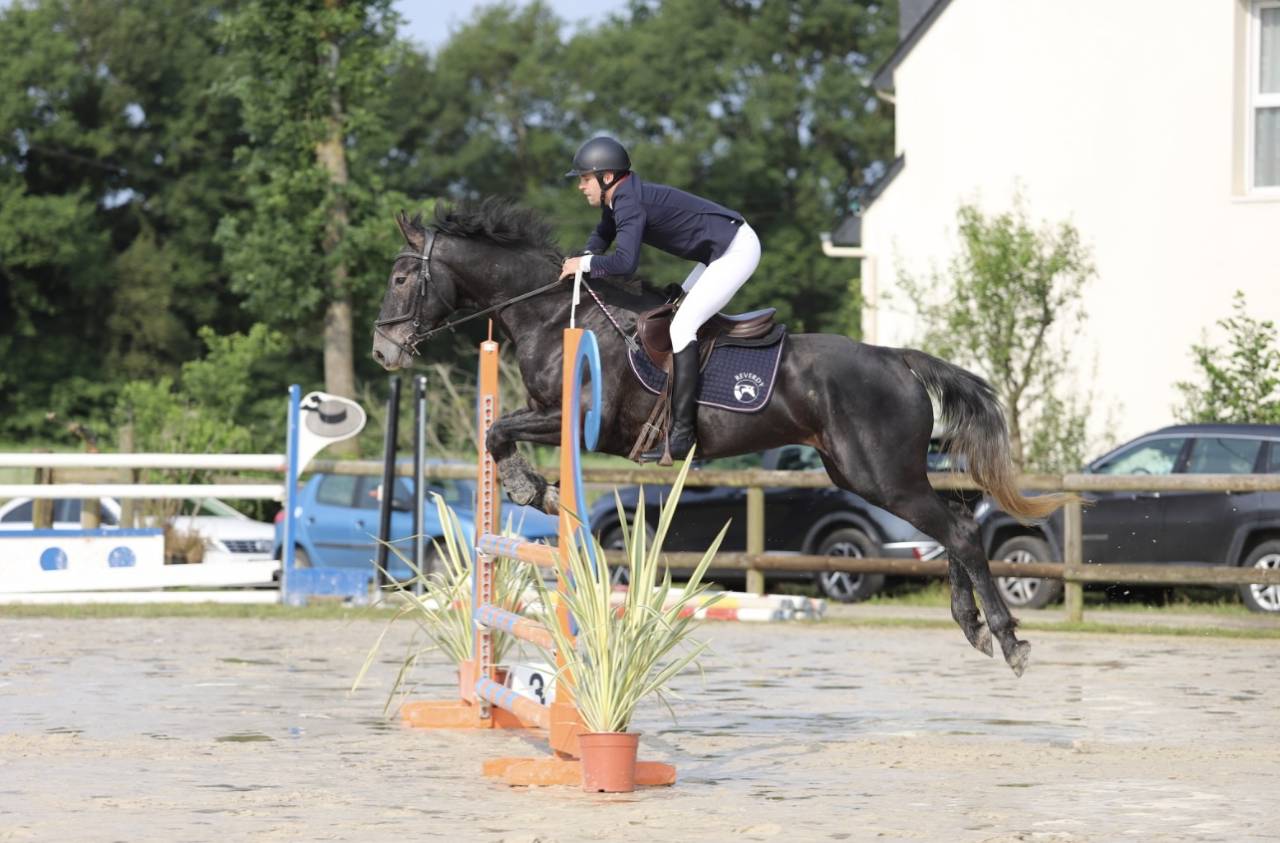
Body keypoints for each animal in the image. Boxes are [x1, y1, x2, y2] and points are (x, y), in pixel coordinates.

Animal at [371, 198, 1070, 676]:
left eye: (401, 279)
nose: (382, 352)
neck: (552, 314)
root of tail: (895, 358)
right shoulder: (547, 410)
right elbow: (499, 430)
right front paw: (533, 488)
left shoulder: (580, 418)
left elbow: (497, 430)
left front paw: (530, 489)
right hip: (866, 473)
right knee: (955, 520)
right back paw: (972, 625)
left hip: (879, 475)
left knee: (957, 529)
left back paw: (1006, 638)